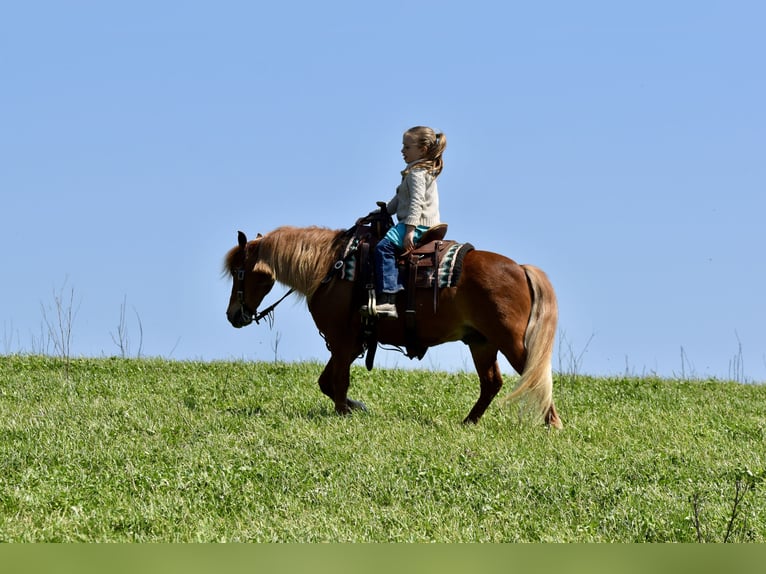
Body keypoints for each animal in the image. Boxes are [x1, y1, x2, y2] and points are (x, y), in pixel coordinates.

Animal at [224, 225, 562, 428]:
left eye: (240, 271)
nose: (233, 315)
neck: (330, 268)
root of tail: (520, 268)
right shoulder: (350, 343)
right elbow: (327, 382)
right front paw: (356, 407)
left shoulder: (342, 341)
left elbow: (338, 382)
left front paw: (345, 412)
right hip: (482, 343)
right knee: (492, 383)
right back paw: (468, 422)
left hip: (510, 342)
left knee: (534, 376)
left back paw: (553, 425)